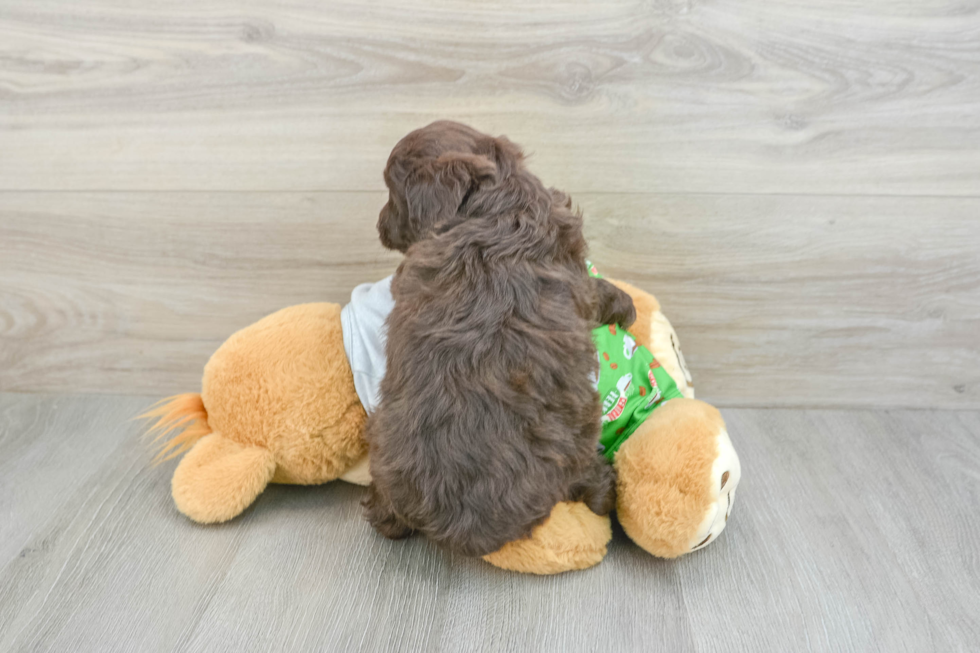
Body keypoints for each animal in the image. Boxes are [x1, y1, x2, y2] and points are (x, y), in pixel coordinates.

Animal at [366, 122, 636, 556]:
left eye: (392, 191)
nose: (378, 225)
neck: (493, 203)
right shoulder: (576, 271)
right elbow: (597, 290)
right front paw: (626, 304)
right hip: (579, 435)